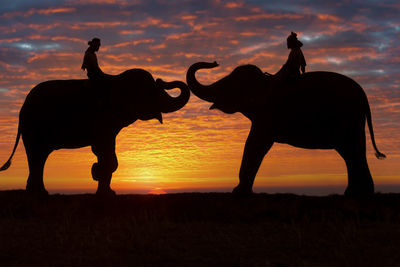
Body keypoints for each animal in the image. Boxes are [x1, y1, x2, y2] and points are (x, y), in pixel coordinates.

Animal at [0, 69, 191, 197]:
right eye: (151, 91)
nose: (162, 80)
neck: (117, 79)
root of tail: (23, 107)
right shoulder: (103, 119)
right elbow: (104, 150)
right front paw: (100, 179)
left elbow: (104, 151)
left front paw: (102, 182)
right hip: (34, 126)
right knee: (37, 155)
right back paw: (39, 194)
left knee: (39, 157)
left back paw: (37, 193)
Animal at [186, 61, 386, 198]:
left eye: (231, 84)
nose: (214, 62)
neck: (265, 81)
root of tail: (363, 94)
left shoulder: (267, 116)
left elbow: (254, 144)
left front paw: (238, 193)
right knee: (350, 153)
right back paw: (355, 193)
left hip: (349, 118)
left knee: (353, 151)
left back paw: (360, 194)